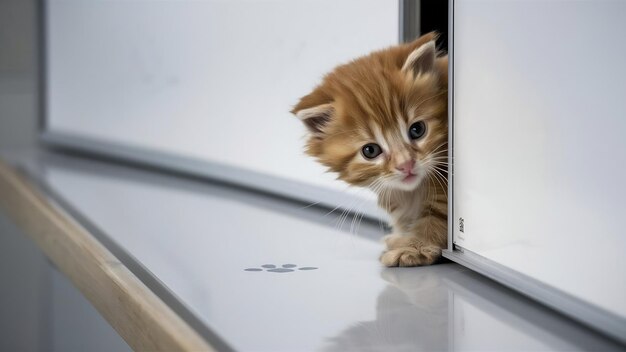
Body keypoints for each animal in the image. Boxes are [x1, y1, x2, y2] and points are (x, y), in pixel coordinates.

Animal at [290, 33, 446, 266]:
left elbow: (438, 212)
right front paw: (402, 238)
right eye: (370, 151)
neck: (412, 191)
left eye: (417, 130)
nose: (406, 164)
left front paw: (413, 247)